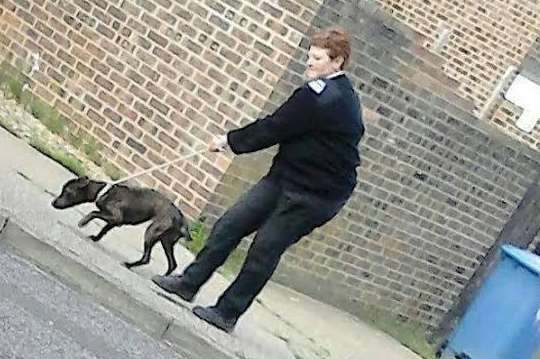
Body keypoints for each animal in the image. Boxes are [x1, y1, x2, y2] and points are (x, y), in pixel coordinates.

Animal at [52, 177, 192, 276]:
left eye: (67, 191)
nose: (53, 202)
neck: (103, 192)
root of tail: (181, 219)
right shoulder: (114, 222)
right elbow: (104, 229)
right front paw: (95, 238)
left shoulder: (114, 217)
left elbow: (93, 213)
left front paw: (83, 222)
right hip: (166, 241)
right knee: (172, 264)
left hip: (152, 232)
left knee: (147, 258)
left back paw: (129, 265)